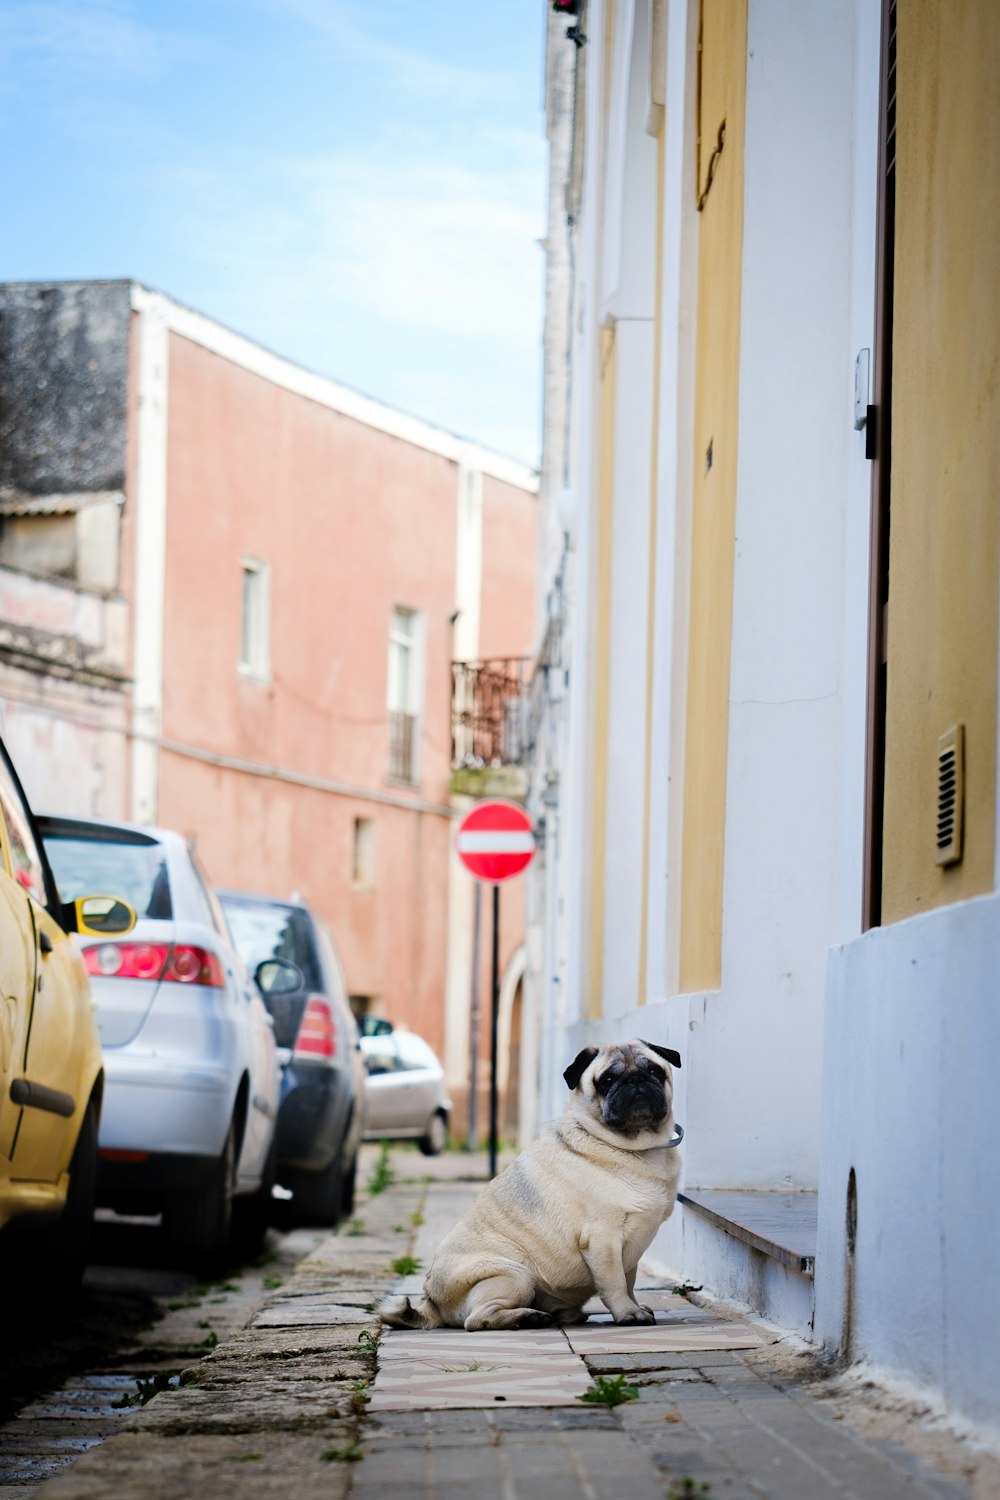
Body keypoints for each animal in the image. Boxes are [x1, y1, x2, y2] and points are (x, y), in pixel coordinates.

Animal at [379, 1038, 683, 1332]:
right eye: (608, 1080)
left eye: (655, 1071)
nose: (636, 1080)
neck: (637, 1149)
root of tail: (432, 1302)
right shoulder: (603, 1240)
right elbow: (616, 1283)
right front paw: (628, 1313)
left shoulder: (632, 1248)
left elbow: (629, 1282)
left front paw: (635, 1306)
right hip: (515, 1276)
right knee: (476, 1320)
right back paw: (526, 1318)